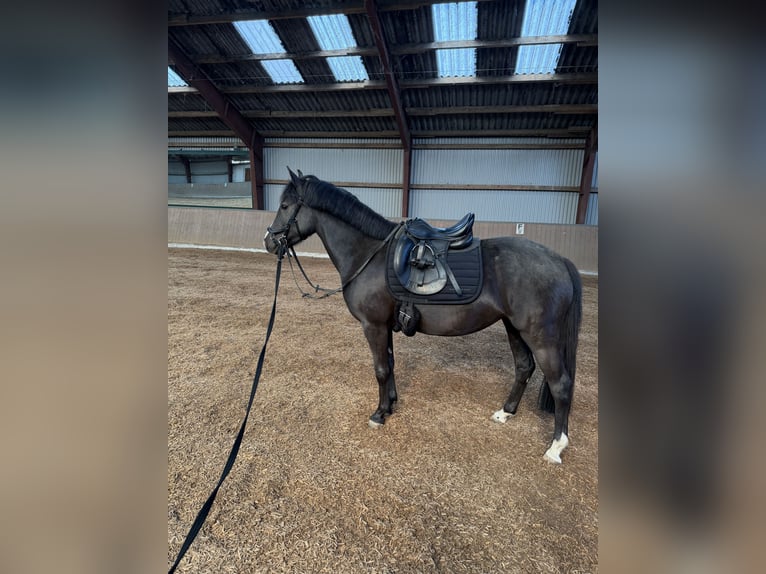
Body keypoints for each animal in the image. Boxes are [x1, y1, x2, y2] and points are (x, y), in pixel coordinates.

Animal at [264, 170, 582, 464]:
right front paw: (390, 404)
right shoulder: (385, 327)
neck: (369, 254)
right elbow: (390, 365)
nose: (269, 241)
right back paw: (506, 413)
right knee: (524, 367)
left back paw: (555, 447)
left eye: (285, 206)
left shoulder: (373, 326)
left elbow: (380, 369)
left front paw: (379, 414)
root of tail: (560, 260)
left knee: (561, 384)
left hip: (541, 336)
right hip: (514, 328)